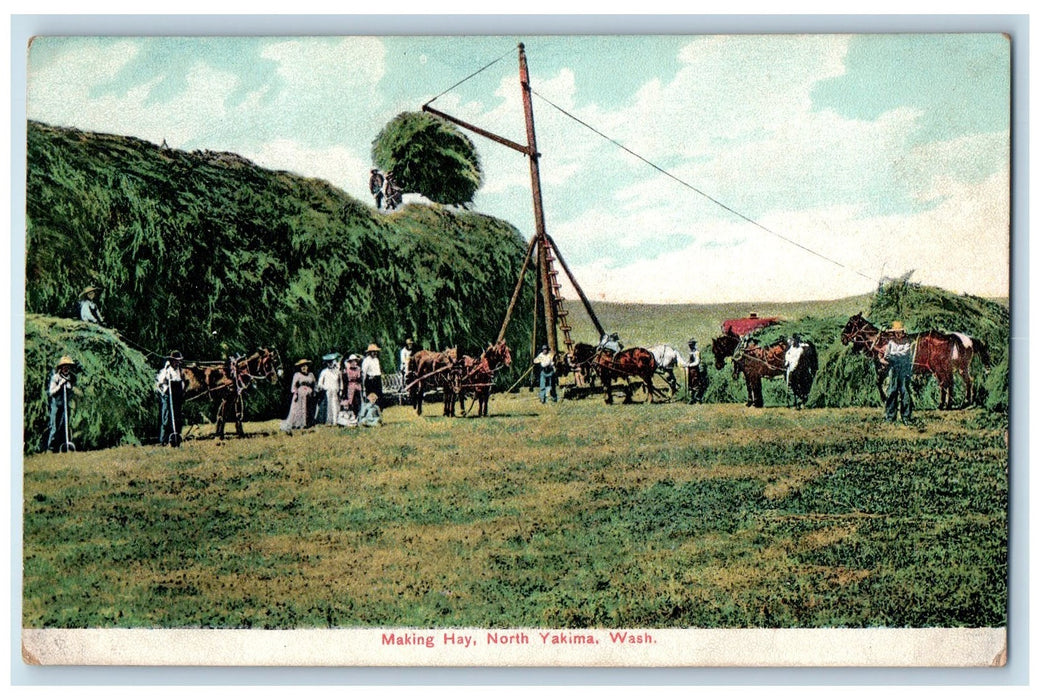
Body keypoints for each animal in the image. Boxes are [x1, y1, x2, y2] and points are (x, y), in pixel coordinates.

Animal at [836, 312, 990, 409]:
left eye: (849, 324)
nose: (842, 338)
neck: (880, 342)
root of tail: (950, 337)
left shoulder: (884, 367)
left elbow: (879, 383)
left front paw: (886, 400)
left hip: (940, 368)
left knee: (947, 383)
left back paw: (946, 404)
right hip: (957, 368)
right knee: (961, 382)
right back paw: (961, 402)